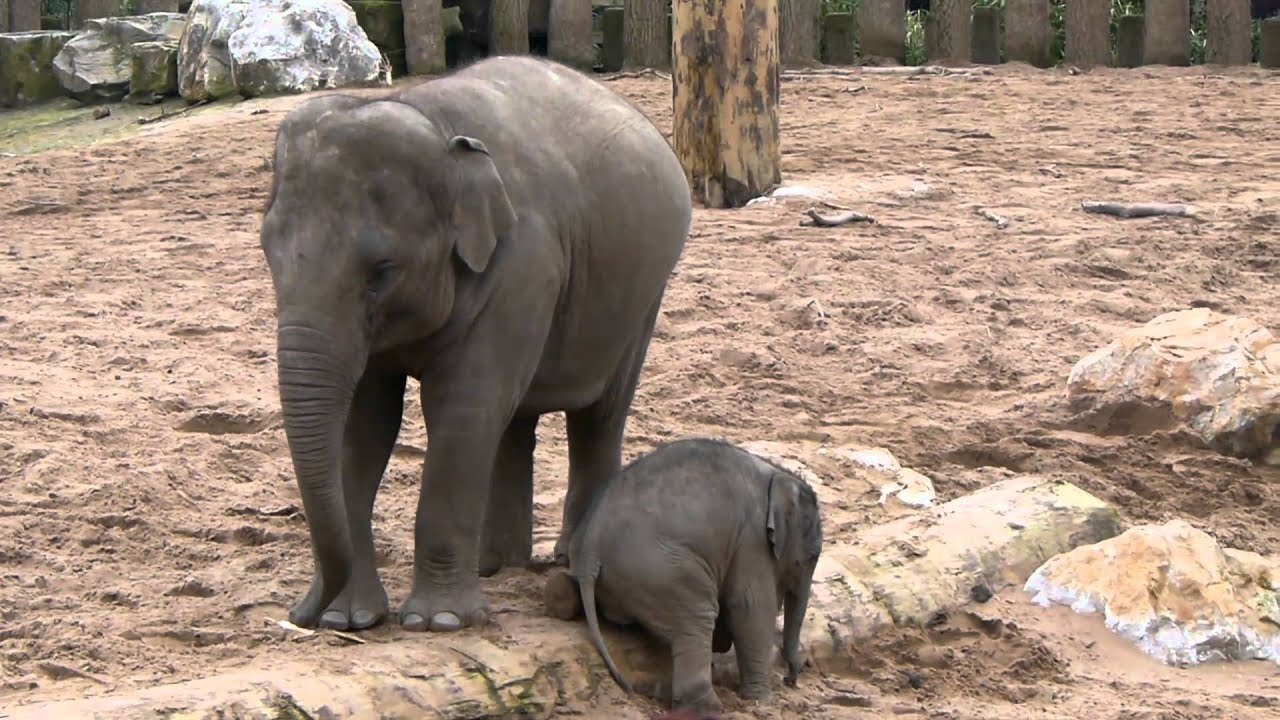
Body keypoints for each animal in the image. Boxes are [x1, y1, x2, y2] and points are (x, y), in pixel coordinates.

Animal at [258, 55, 693, 634]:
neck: (431, 120)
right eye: (268, 251)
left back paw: (568, 560)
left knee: (598, 417)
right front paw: (348, 620)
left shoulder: (525, 265)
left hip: (643, 294)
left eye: (382, 270)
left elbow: (461, 408)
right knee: (513, 420)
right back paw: (497, 566)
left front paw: (437, 622)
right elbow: (365, 424)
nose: (298, 615)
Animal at [543, 438, 825, 715]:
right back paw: (708, 707)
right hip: (662, 572)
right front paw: (761, 700)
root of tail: (590, 550)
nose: (791, 680)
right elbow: (750, 607)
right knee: (699, 615)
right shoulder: (752, 540)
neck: (779, 475)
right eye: (811, 556)